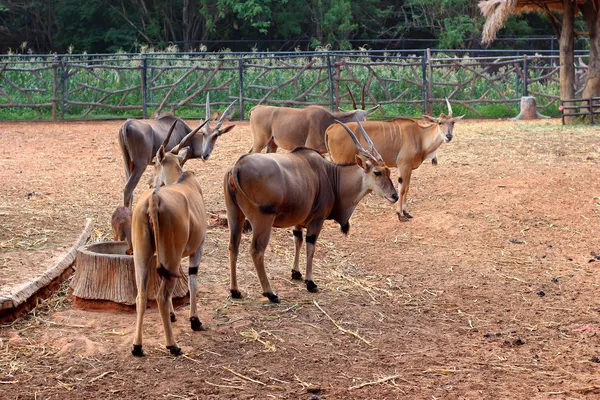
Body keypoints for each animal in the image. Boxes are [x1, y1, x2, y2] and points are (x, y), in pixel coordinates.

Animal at [130, 119, 210, 356]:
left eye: (155, 163)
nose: (150, 182)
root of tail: (153, 201)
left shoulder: (162, 256)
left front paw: (175, 315)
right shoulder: (197, 248)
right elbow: (193, 280)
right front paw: (195, 320)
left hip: (143, 256)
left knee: (141, 295)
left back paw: (137, 346)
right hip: (171, 256)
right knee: (162, 296)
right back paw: (172, 345)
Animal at [225, 122, 398, 304]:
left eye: (389, 172)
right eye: (377, 172)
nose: (395, 196)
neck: (331, 176)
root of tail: (237, 166)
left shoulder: (299, 221)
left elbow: (298, 240)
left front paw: (296, 273)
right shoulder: (317, 219)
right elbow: (311, 247)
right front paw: (310, 283)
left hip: (234, 216)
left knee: (233, 246)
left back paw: (235, 291)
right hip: (262, 221)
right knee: (256, 251)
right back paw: (270, 293)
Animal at [246, 85, 378, 154]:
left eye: (365, 119)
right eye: (356, 121)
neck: (327, 121)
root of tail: (256, 108)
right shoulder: (310, 147)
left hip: (272, 144)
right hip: (260, 141)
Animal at [326, 98, 462, 220]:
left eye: (453, 122)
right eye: (440, 122)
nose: (448, 136)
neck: (420, 136)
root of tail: (331, 128)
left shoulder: (409, 169)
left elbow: (407, 188)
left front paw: (406, 212)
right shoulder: (403, 166)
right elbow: (402, 189)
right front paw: (400, 215)